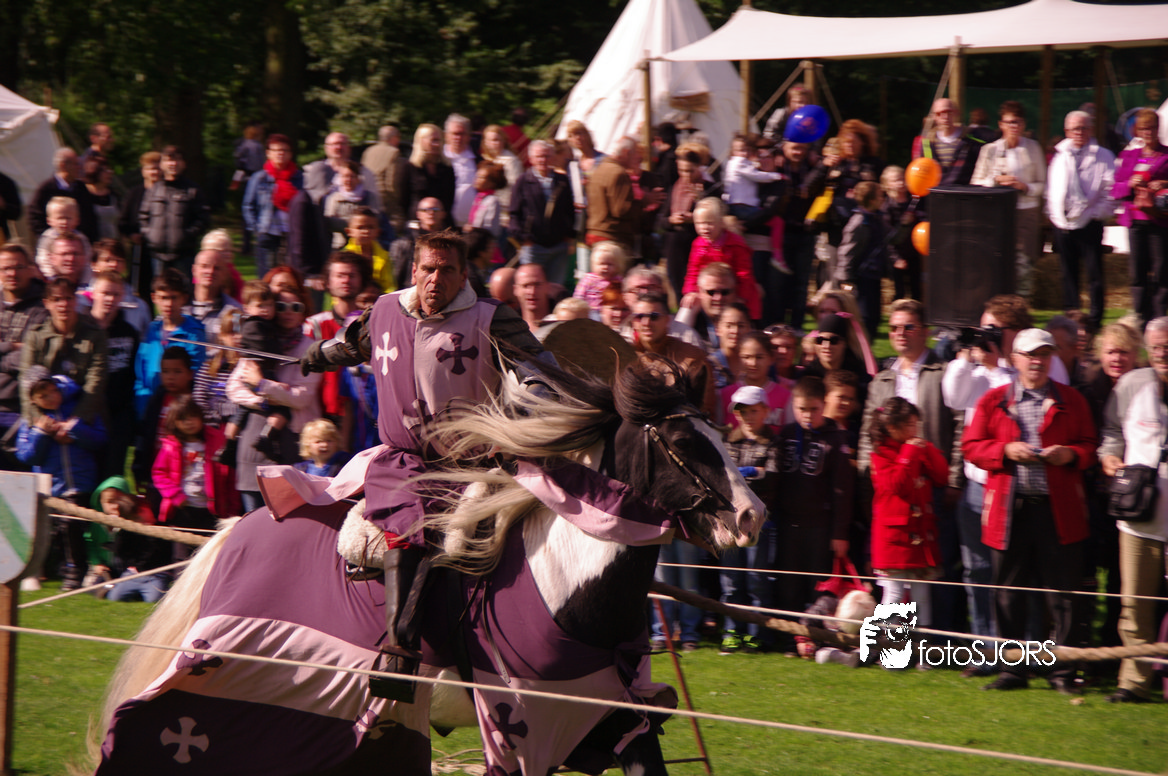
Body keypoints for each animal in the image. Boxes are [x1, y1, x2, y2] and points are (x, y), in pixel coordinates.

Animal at [90, 357, 765, 776]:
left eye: (718, 432)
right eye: (683, 443)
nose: (751, 516)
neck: (567, 590)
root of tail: (235, 533)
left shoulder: (616, 724)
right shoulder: (522, 732)